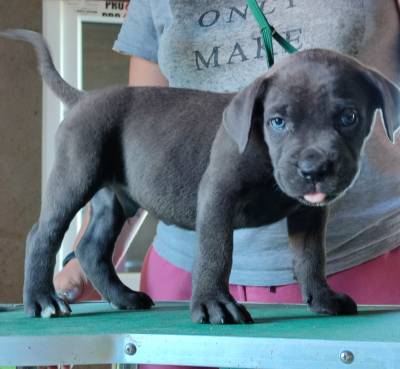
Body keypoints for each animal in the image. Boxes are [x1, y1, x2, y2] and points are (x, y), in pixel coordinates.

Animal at [1, 29, 398, 322]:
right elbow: (216, 251)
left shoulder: (308, 213)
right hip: (75, 175)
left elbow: (311, 256)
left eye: (349, 117)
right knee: (43, 234)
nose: (313, 170)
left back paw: (124, 297)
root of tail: (84, 99)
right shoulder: (218, 196)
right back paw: (42, 299)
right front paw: (214, 303)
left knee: (92, 247)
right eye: (277, 121)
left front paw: (322, 297)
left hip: (114, 200)